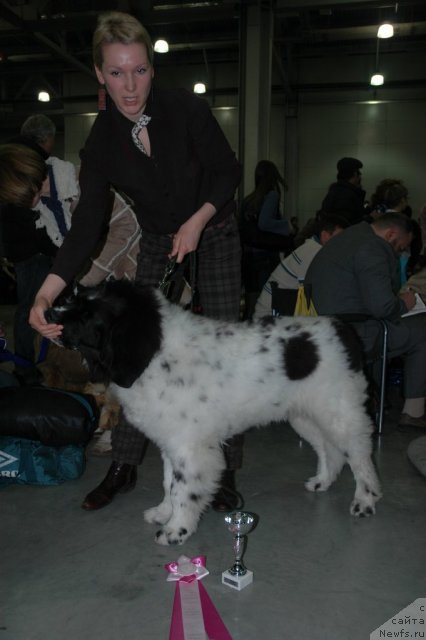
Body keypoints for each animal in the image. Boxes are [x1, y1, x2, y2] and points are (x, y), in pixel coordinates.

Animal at [45, 280, 380, 544]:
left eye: (88, 315)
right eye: (75, 297)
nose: (47, 312)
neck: (156, 353)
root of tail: (342, 328)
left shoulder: (190, 448)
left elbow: (183, 489)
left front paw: (177, 530)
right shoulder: (171, 442)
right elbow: (169, 483)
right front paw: (163, 513)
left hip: (340, 413)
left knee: (360, 456)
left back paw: (365, 501)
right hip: (306, 415)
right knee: (329, 450)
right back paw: (322, 481)